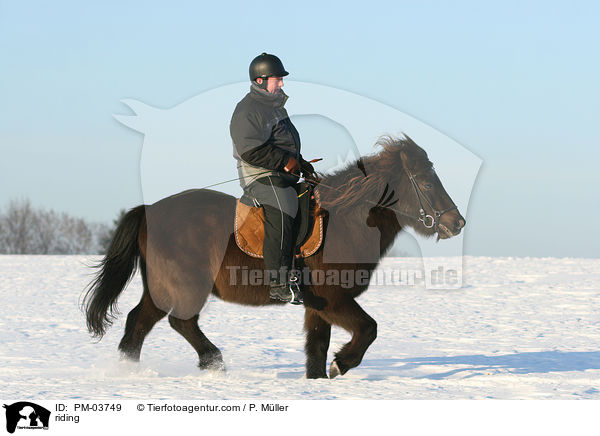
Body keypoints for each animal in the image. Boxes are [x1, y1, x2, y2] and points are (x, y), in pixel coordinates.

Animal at [83, 135, 464, 378]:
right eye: (425, 183)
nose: (456, 222)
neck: (347, 221)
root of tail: (148, 210)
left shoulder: (317, 305)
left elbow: (316, 348)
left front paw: (319, 380)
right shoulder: (334, 299)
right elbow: (368, 329)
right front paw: (342, 363)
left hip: (161, 288)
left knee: (139, 324)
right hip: (184, 285)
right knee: (179, 322)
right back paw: (213, 362)